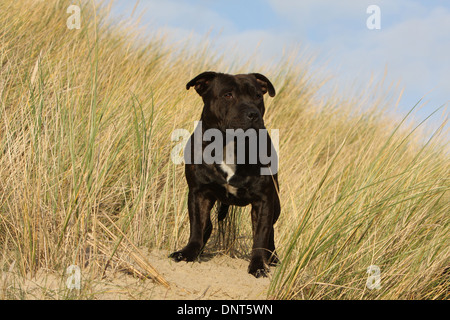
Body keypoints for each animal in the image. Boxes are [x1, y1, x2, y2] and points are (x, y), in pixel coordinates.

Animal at [170, 71, 280, 276]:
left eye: (257, 96)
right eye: (228, 95)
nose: (253, 113)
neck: (230, 145)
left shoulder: (264, 200)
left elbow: (261, 236)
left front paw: (258, 265)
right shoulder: (198, 193)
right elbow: (197, 226)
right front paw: (188, 252)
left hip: (276, 205)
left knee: (270, 234)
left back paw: (273, 259)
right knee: (207, 225)